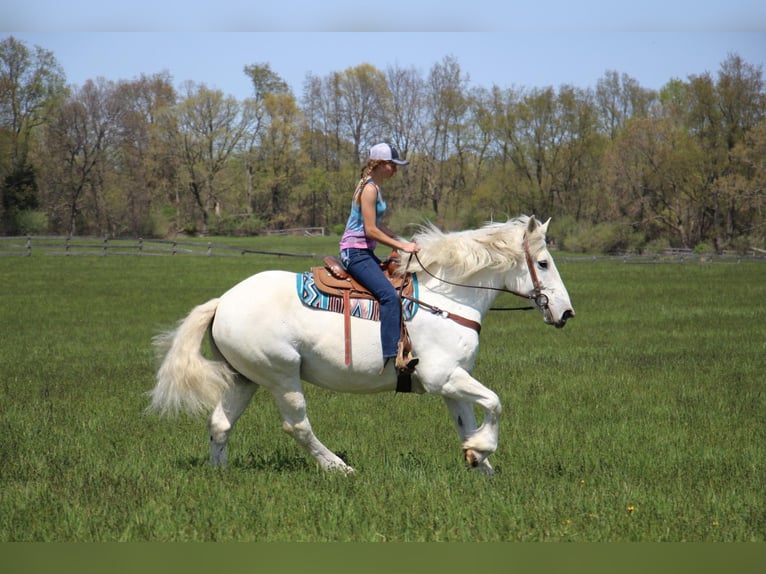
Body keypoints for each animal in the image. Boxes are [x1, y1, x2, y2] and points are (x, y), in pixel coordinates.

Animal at [147, 217, 572, 476]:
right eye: (544, 263)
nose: (566, 313)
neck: (448, 299)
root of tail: (223, 302)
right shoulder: (443, 377)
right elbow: (496, 403)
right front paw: (483, 452)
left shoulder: (454, 382)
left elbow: (467, 423)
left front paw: (479, 462)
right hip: (282, 375)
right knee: (297, 425)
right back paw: (339, 468)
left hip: (244, 378)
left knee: (220, 424)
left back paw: (221, 473)